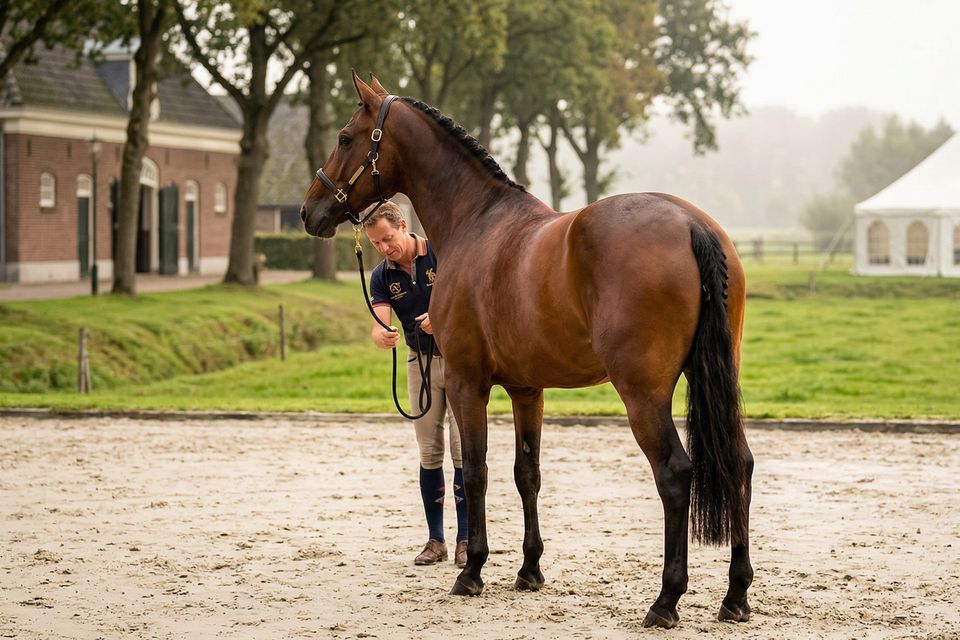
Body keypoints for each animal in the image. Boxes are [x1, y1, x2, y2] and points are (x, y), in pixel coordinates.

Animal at [300, 72, 753, 629]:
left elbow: (475, 472)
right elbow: (526, 473)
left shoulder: (468, 383)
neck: (476, 222)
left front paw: (471, 571)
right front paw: (529, 570)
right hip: (716, 377)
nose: (310, 211)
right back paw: (735, 596)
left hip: (643, 395)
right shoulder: (526, 389)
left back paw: (665, 600)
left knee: (674, 473)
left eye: (345, 138)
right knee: (740, 464)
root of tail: (692, 225)